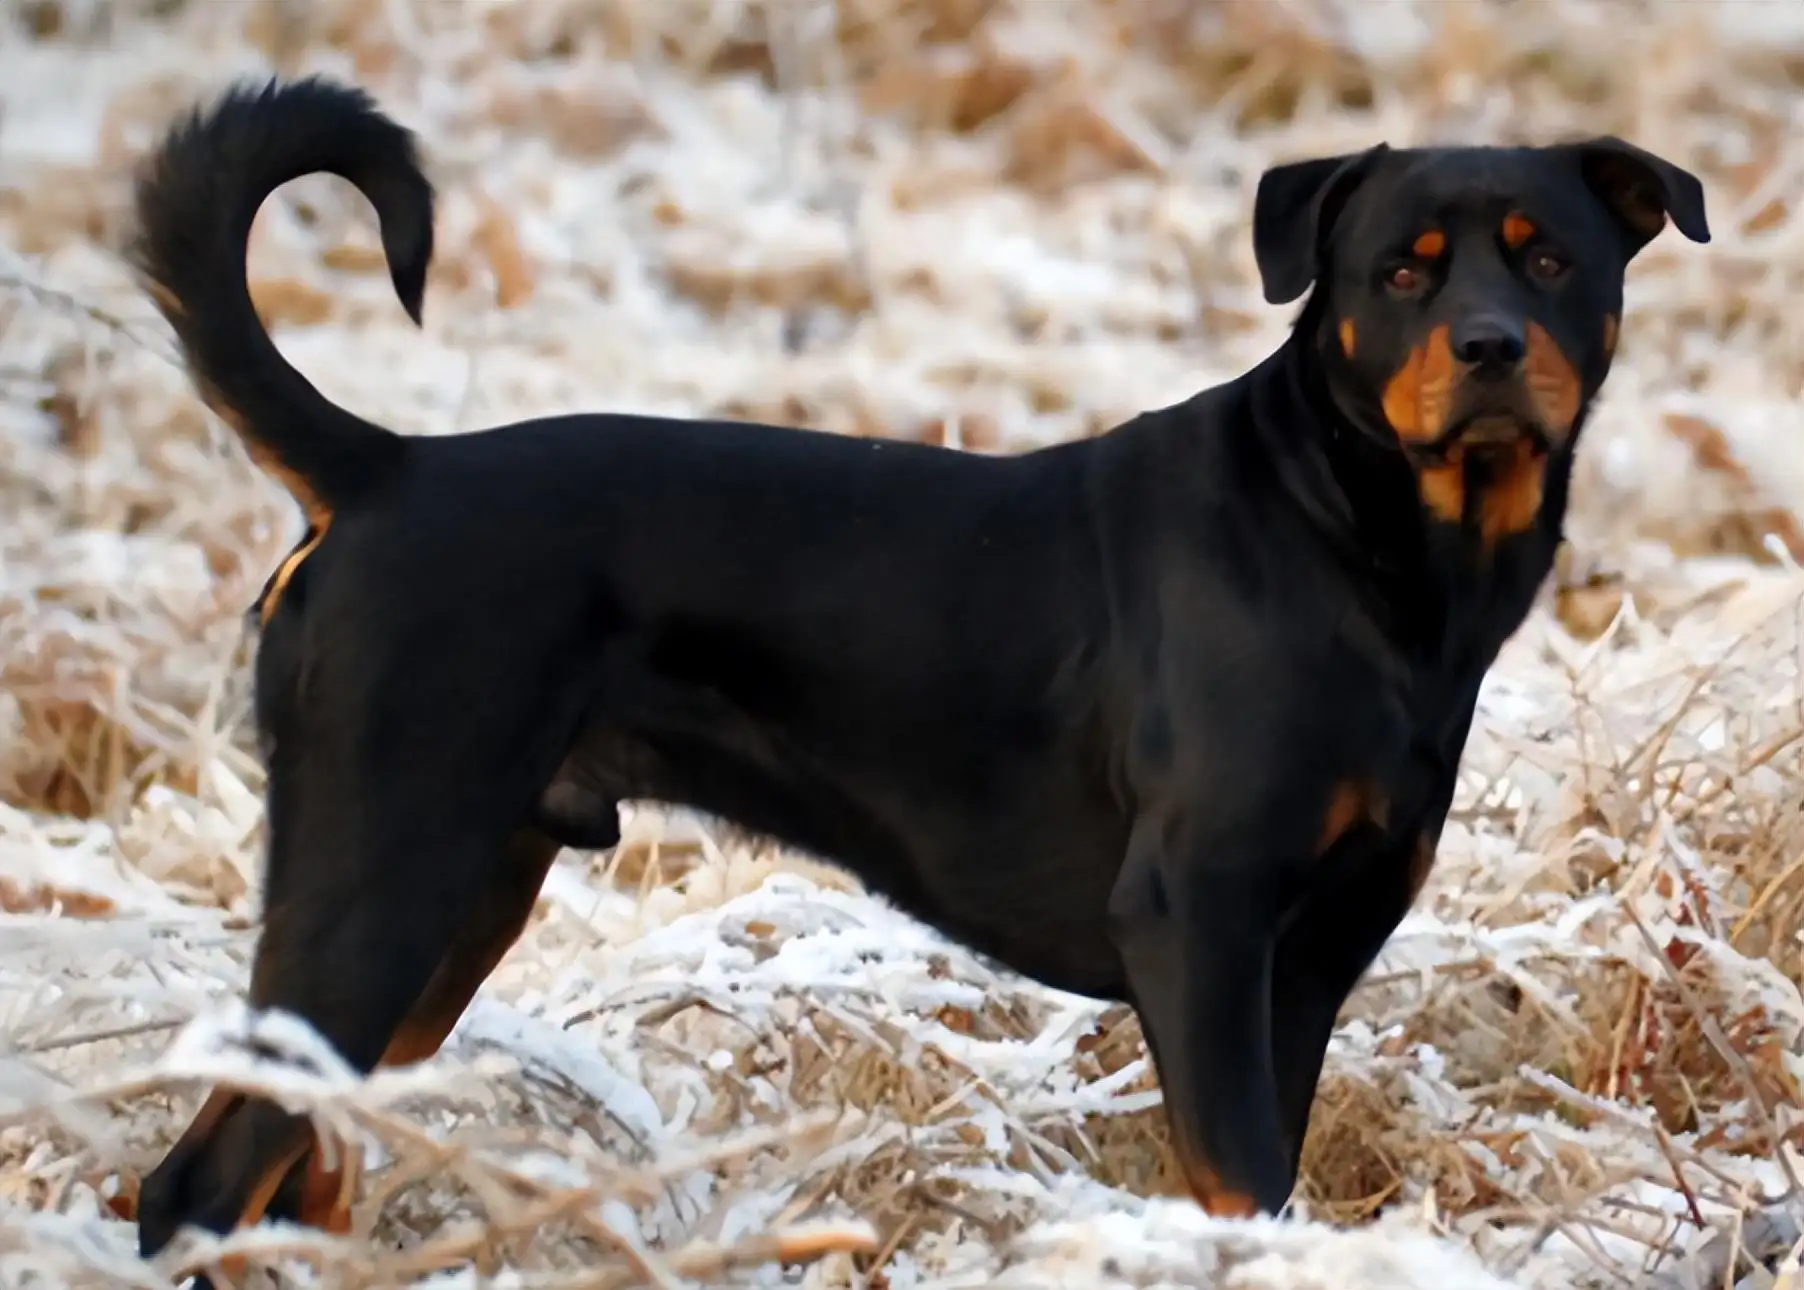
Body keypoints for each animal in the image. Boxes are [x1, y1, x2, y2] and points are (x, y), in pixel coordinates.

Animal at [127, 75, 1702, 1277]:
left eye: (1550, 259)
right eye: (1402, 269)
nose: (1490, 346)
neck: (1367, 549)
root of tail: (383, 469)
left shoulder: (1310, 954)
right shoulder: (1196, 918)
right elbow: (1240, 1181)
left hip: (456, 899)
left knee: (300, 1164)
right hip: (381, 870)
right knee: (198, 1180)